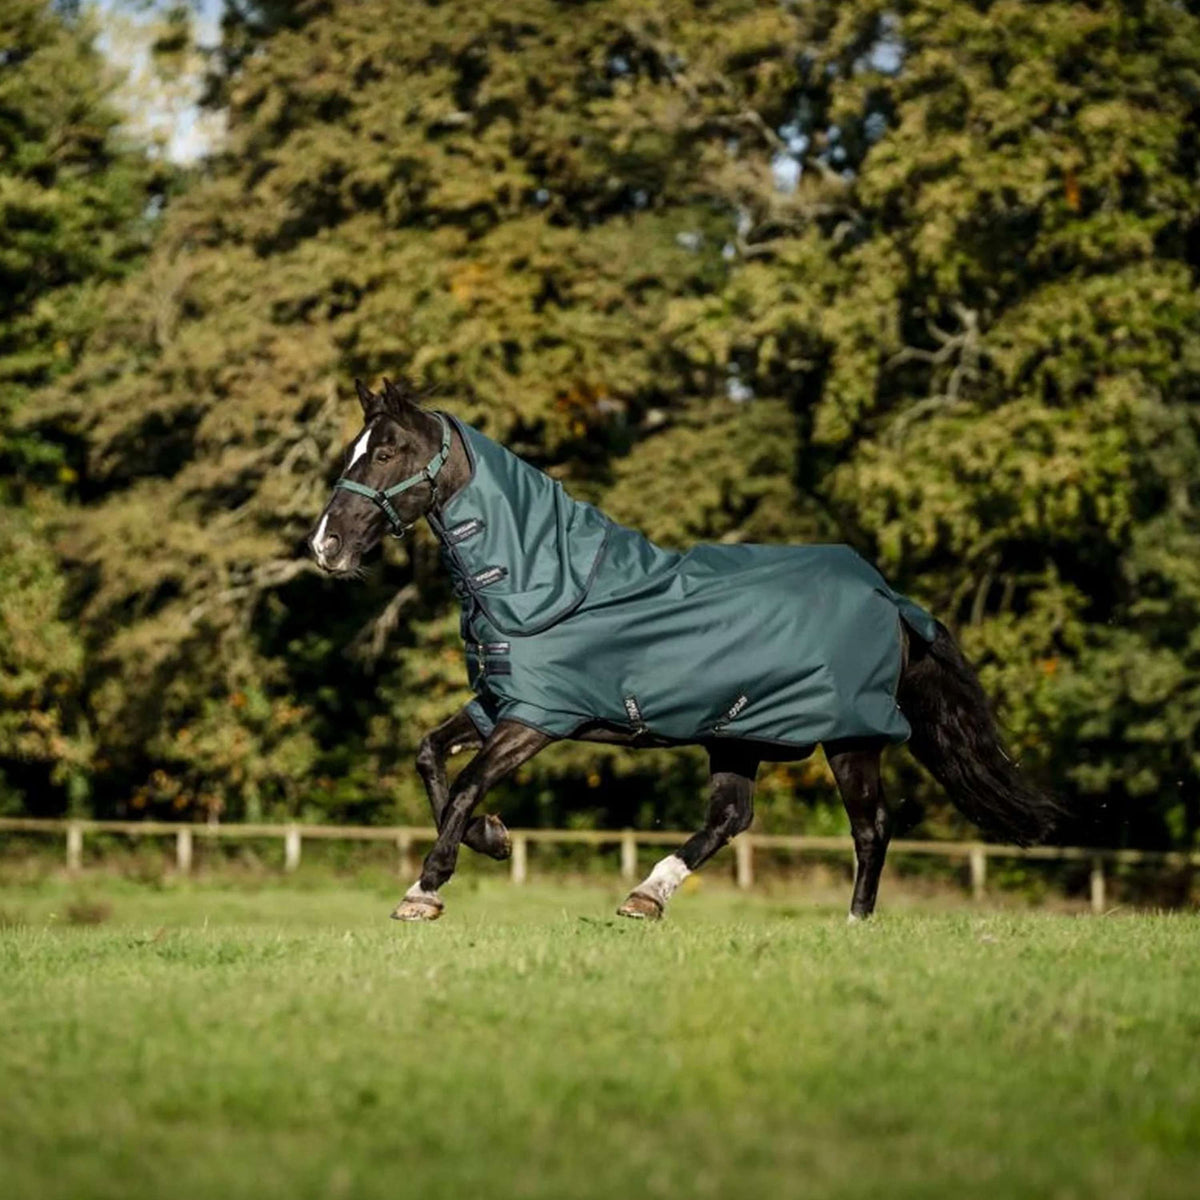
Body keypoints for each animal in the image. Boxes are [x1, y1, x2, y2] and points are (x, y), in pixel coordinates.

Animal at [309, 377, 1060, 922]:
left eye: (385, 452)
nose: (325, 546)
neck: (542, 579)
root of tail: (890, 598)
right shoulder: (499, 701)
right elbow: (429, 757)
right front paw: (492, 840)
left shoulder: (539, 718)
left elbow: (465, 783)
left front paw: (425, 889)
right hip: (740, 734)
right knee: (732, 816)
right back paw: (648, 894)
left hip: (850, 737)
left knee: (870, 826)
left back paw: (853, 922)